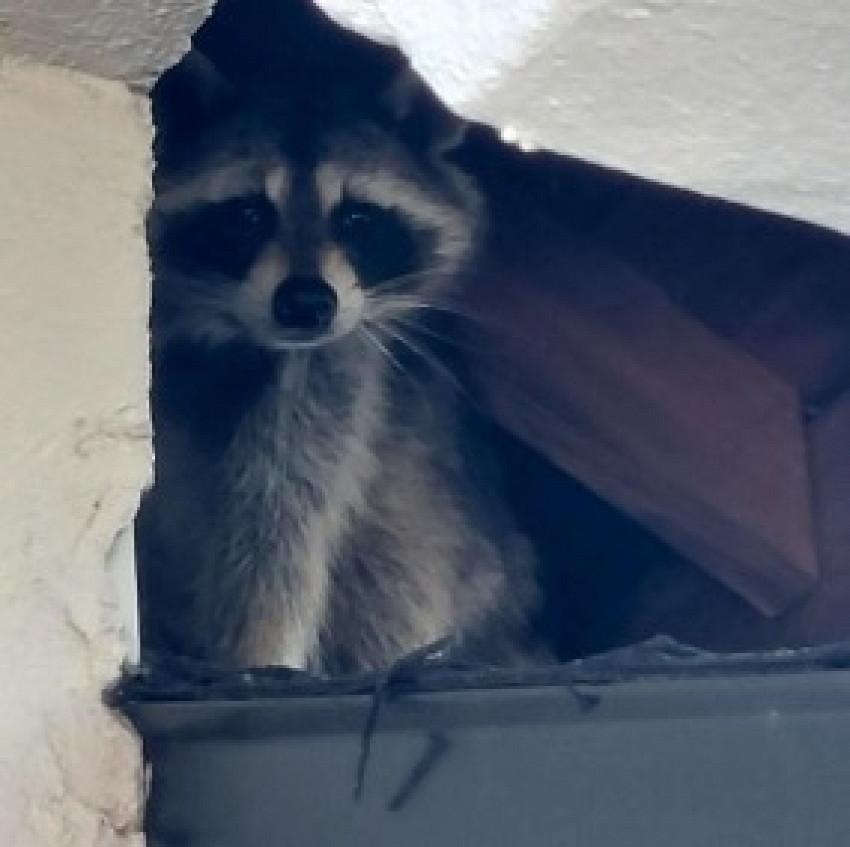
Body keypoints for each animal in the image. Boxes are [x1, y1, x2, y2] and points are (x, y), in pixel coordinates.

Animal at [136, 49, 542, 673]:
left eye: (357, 219)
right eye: (247, 215)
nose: (306, 303)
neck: (227, 335)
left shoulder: (336, 373)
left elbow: (282, 524)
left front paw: (258, 653)